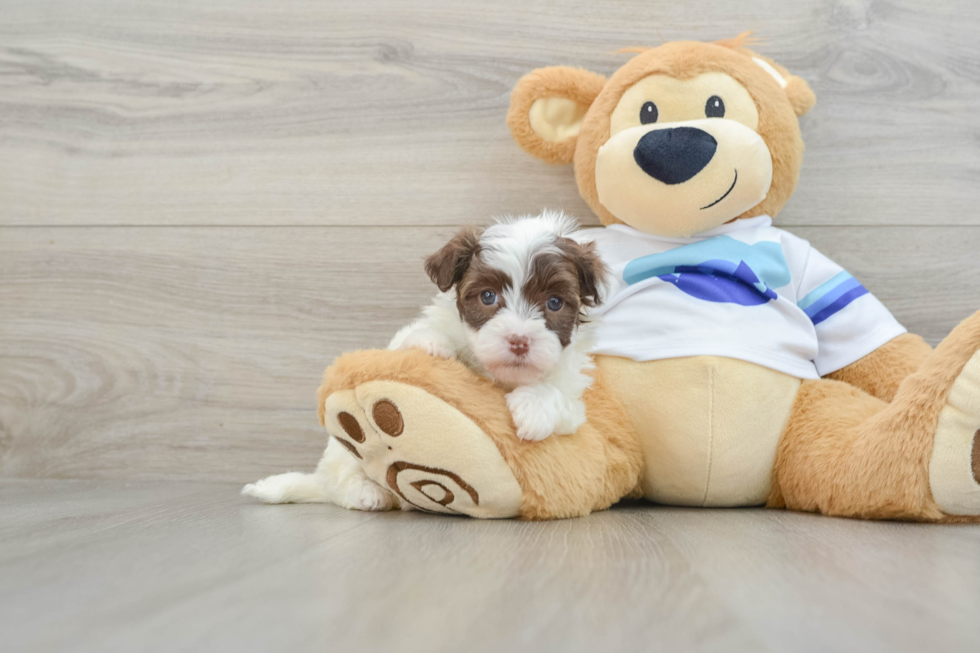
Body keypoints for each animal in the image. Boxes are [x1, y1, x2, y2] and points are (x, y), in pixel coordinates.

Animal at [244, 211, 608, 512]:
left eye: (555, 302)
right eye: (488, 296)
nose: (519, 340)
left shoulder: (574, 396)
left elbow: (557, 395)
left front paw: (533, 409)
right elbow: (415, 337)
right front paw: (432, 344)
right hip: (341, 456)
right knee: (339, 477)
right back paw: (367, 493)